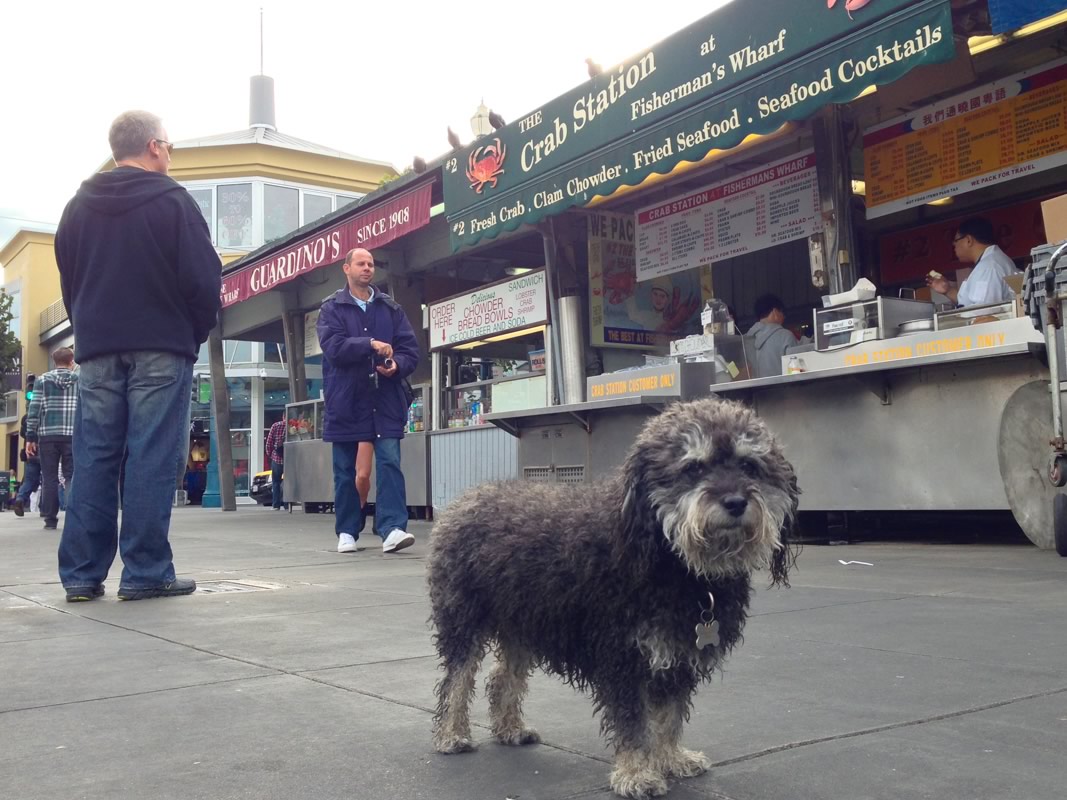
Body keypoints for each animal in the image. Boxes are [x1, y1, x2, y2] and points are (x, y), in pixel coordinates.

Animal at [427, 397, 798, 798]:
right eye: (693, 467)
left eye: (749, 465)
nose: (735, 502)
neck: (674, 563)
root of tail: (465, 499)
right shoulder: (623, 656)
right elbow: (633, 720)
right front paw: (636, 773)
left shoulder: (679, 654)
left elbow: (669, 715)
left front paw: (672, 758)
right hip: (463, 620)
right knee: (457, 679)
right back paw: (451, 735)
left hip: (521, 626)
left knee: (502, 678)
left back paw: (510, 728)